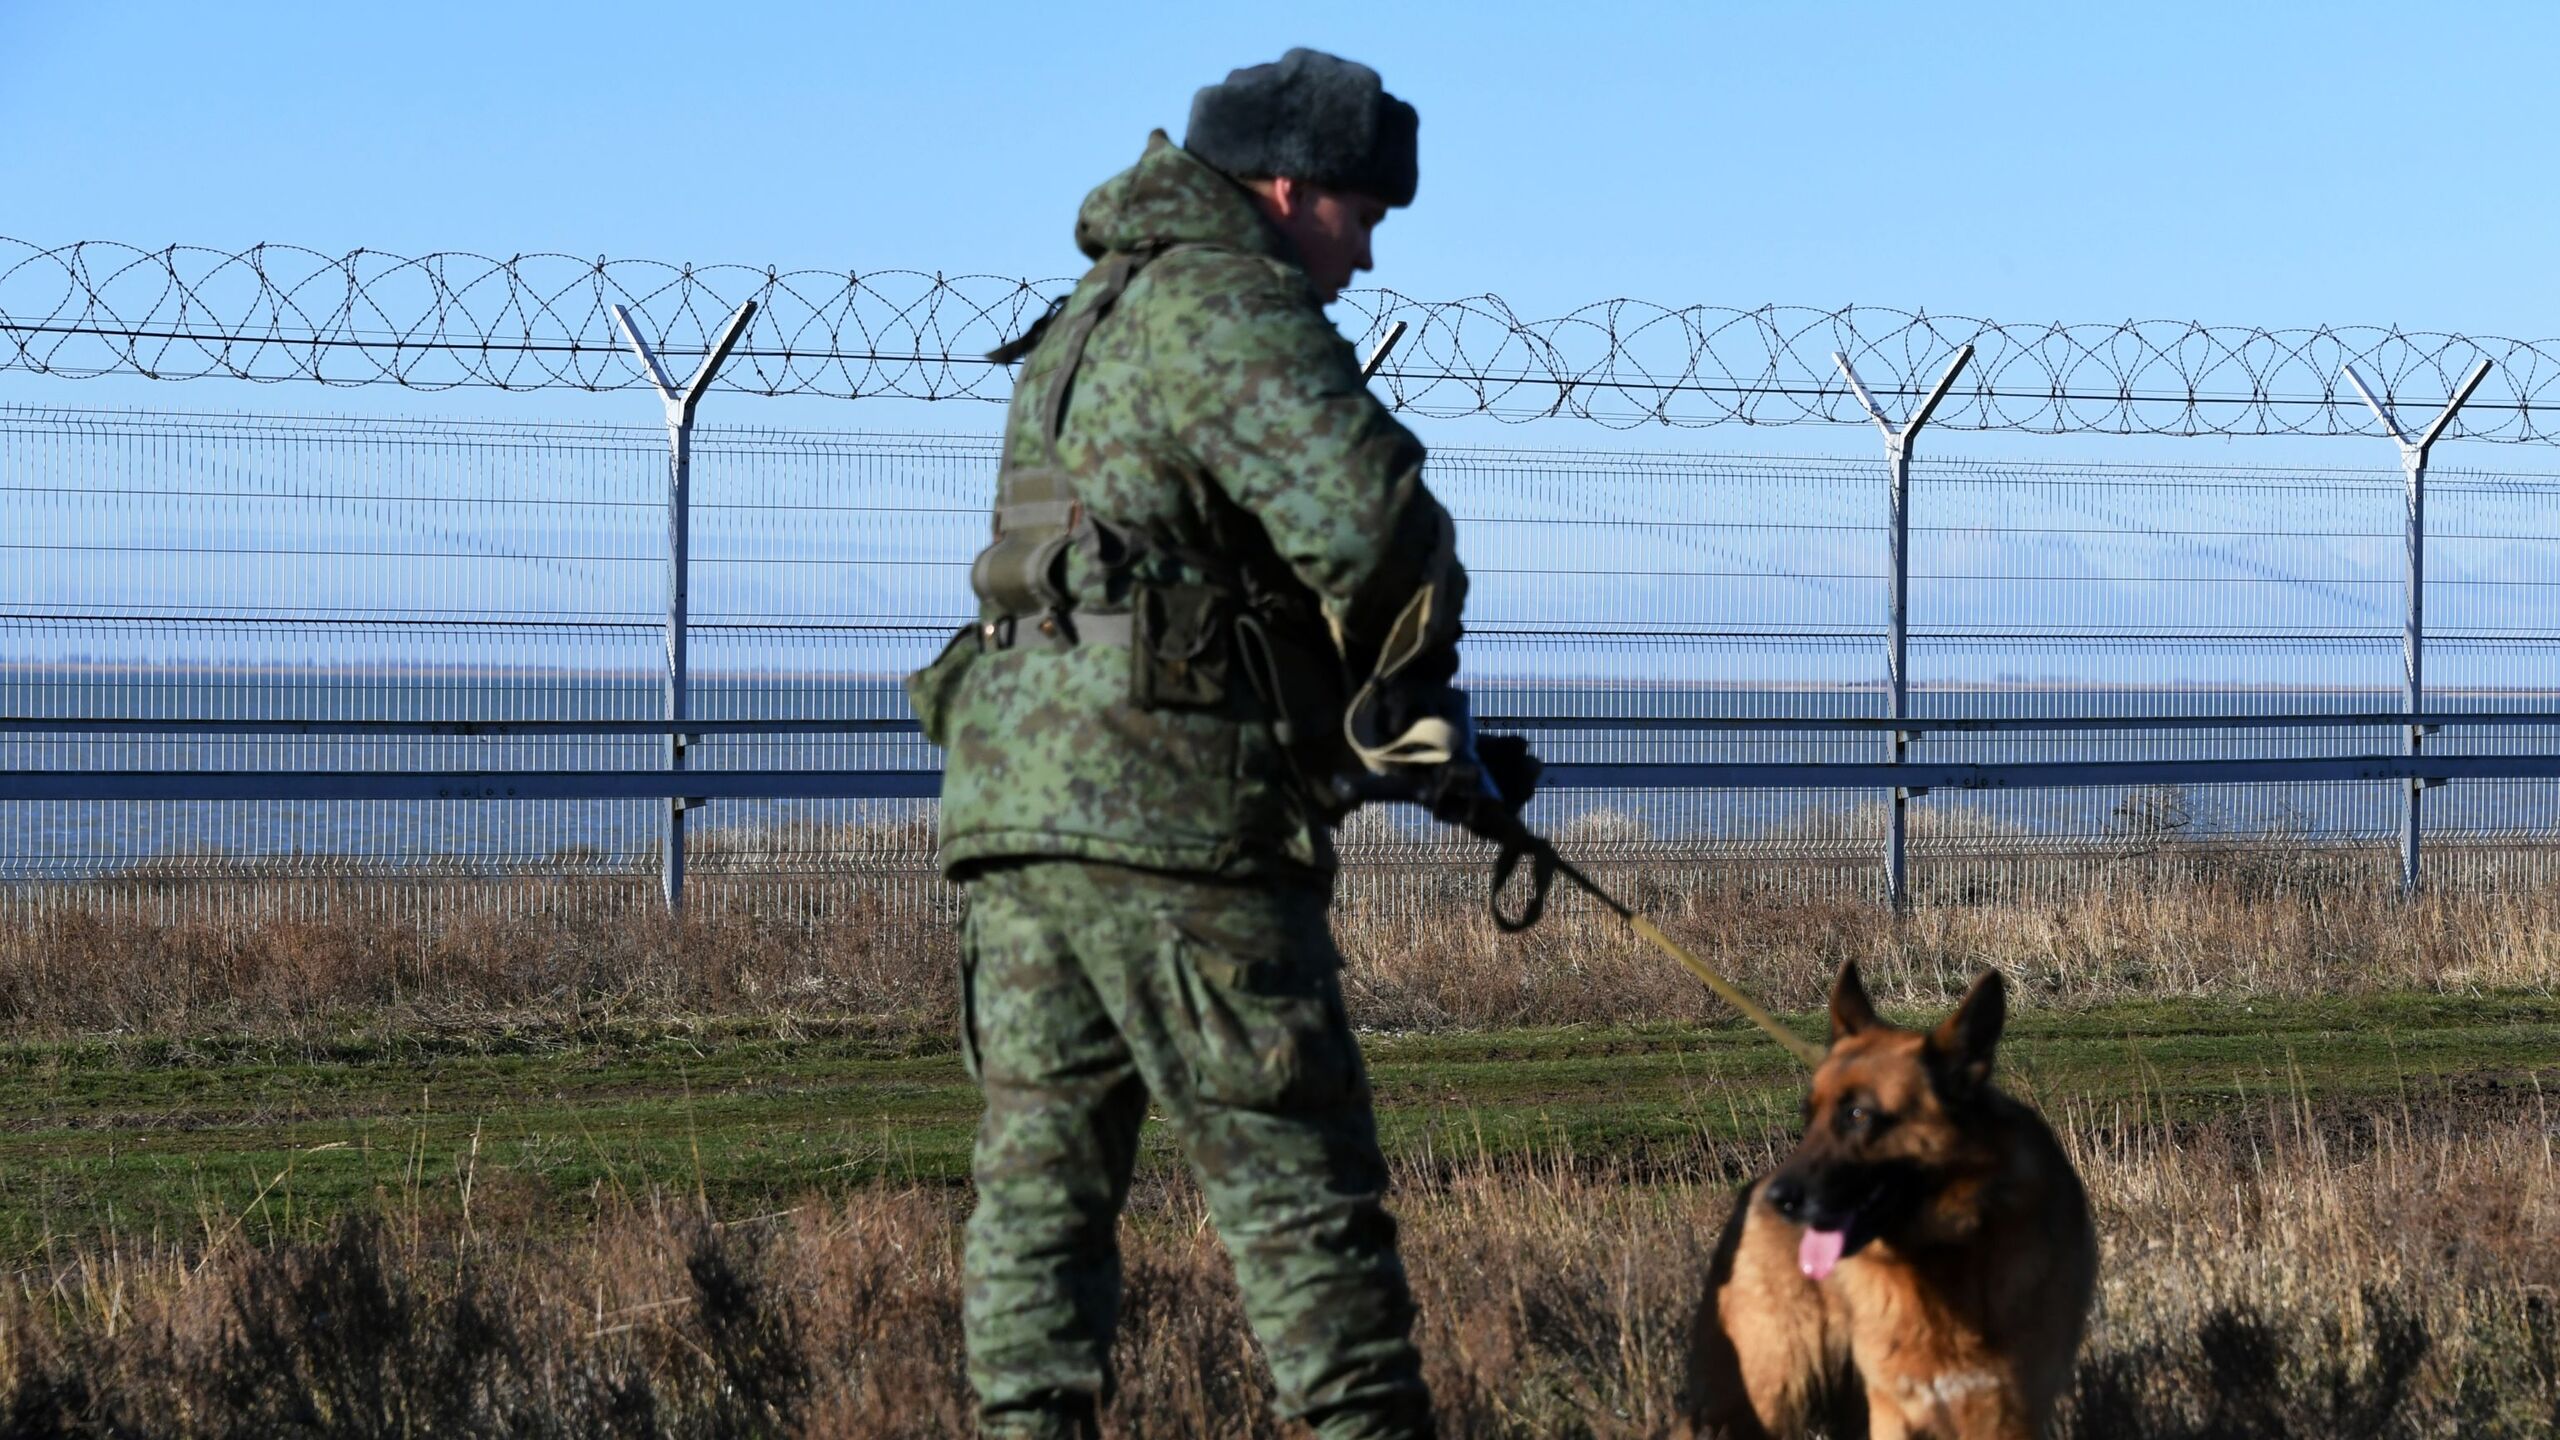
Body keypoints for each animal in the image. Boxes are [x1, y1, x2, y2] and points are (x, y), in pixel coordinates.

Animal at [1679, 958, 2099, 1424]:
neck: (1942, 1254)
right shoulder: (1896, 1411)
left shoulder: (2008, 1412)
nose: (1779, 1201)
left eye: (1859, 1115)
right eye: (1809, 1116)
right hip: (1767, 1392)